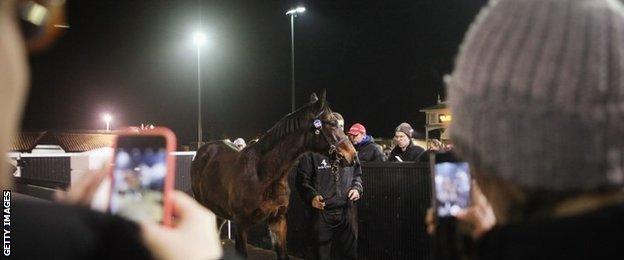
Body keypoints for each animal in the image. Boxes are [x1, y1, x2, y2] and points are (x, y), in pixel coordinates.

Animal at [190, 91, 356, 258]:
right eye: (331, 123)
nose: (353, 156)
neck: (263, 175)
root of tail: (202, 151)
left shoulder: (278, 220)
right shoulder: (240, 225)